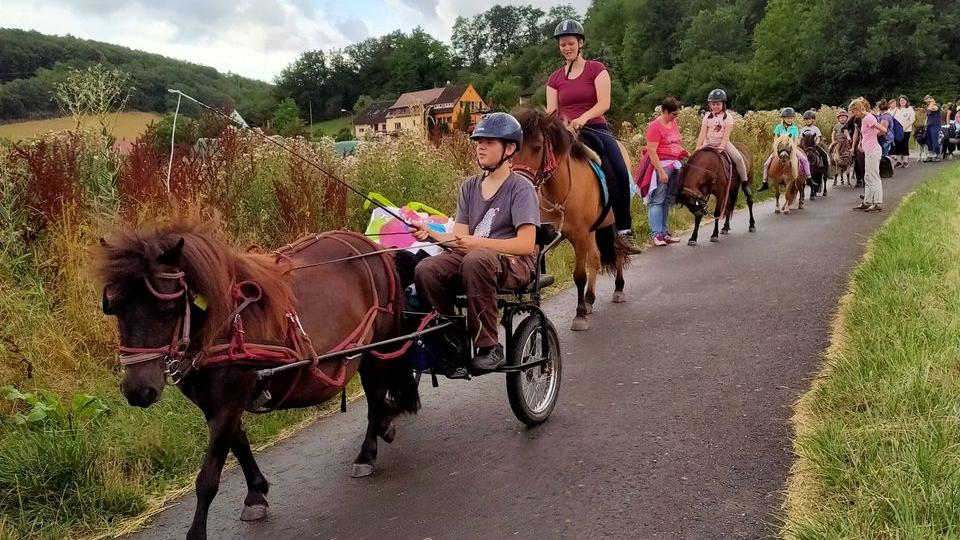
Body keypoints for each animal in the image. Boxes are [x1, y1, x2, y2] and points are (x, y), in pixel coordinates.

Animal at [96, 218, 420, 540]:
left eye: (167, 310)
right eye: (115, 308)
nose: (138, 390)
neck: (227, 323)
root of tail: (369, 245)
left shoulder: (229, 402)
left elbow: (209, 475)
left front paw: (197, 531)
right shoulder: (216, 405)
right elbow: (238, 443)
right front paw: (255, 494)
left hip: (378, 347)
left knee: (375, 394)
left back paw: (368, 451)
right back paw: (385, 425)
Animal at [516, 108, 632, 332]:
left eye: (537, 147)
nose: (521, 182)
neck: (559, 191)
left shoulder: (579, 236)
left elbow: (579, 275)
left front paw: (579, 315)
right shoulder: (539, 235)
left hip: (611, 224)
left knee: (618, 251)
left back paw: (618, 289)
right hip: (593, 230)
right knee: (595, 258)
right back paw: (590, 298)